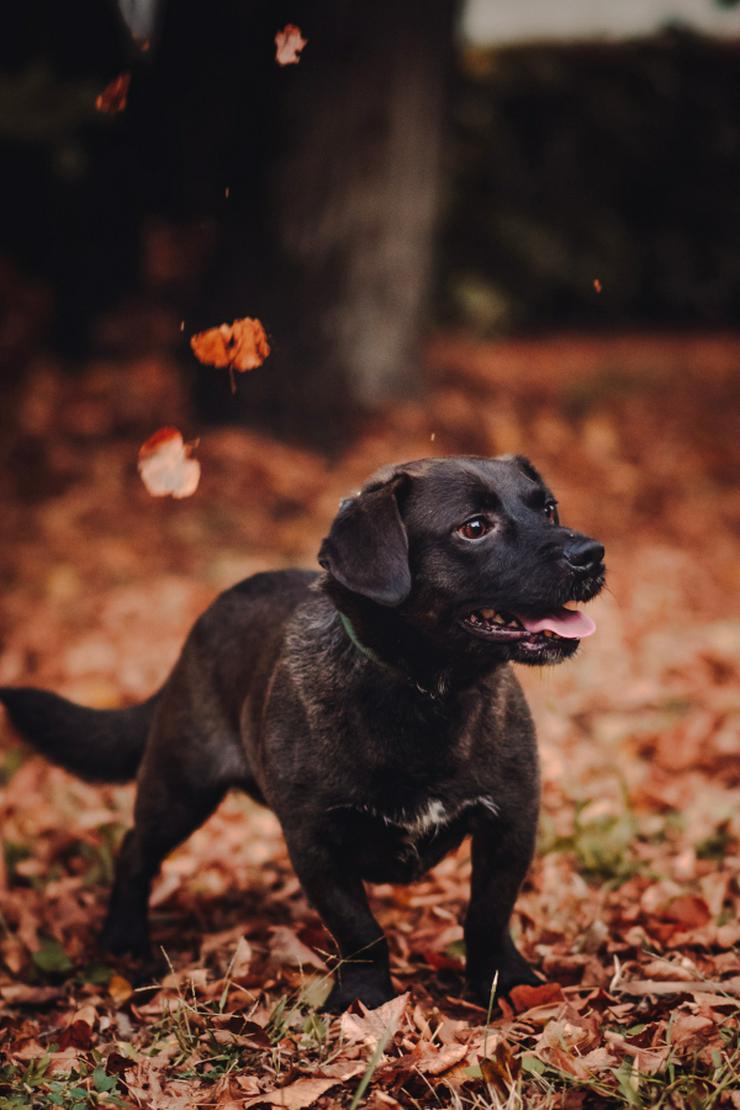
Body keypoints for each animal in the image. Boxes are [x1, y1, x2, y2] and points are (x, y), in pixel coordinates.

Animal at [0, 455, 603, 1012]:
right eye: (474, 527)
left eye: (548, 508)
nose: (591, 554)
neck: (424, 695)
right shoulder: (316, 843)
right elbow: (361, 932)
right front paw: (366, 998)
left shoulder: (511, 824)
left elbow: (487, 914)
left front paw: (507, 982)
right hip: (178, 790)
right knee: (134, 852)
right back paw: (124, 938)